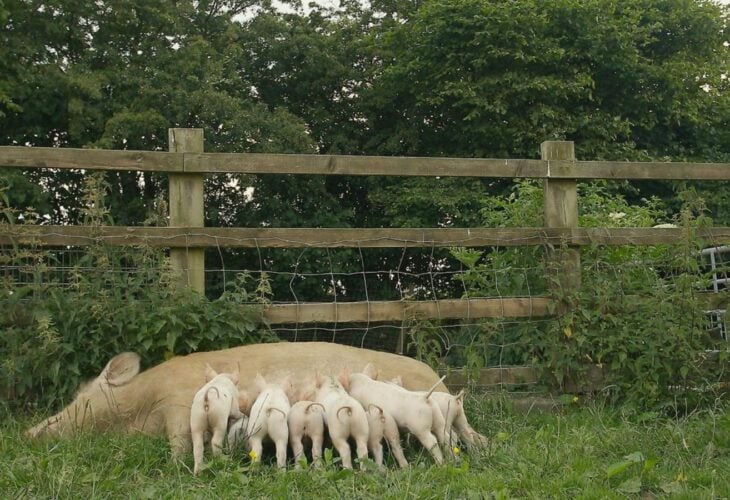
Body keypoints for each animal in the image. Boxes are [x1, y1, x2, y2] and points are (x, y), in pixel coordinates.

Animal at [25, 342, 446, 456]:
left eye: (82, 396)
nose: (28, 434)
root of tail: (439, 382)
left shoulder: (179, 401)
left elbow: (182, 438)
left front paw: (181, 465)